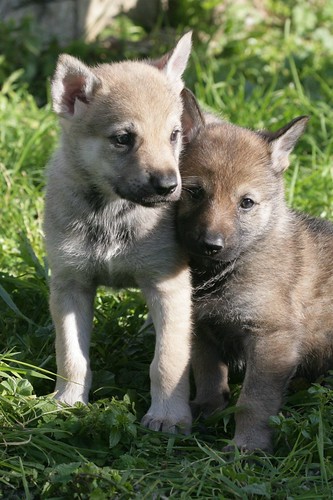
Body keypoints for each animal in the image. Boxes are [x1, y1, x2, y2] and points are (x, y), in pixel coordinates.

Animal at [45, 34, 193, 434]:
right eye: (123, 138)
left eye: (174, 135)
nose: (169, 186)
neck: (112, 213)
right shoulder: (70, 285)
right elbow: (71, 355)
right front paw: (68, 402)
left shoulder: (167, 286)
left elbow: (168, 361)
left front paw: (168, 416)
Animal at [179, 91, 332, 454]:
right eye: (195, 192)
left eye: (246, 203)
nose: (211, 245)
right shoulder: (201, 330)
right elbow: (208, 375)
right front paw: (207, 410)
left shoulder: (270, 339)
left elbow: (253, 402)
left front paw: (247, 447)